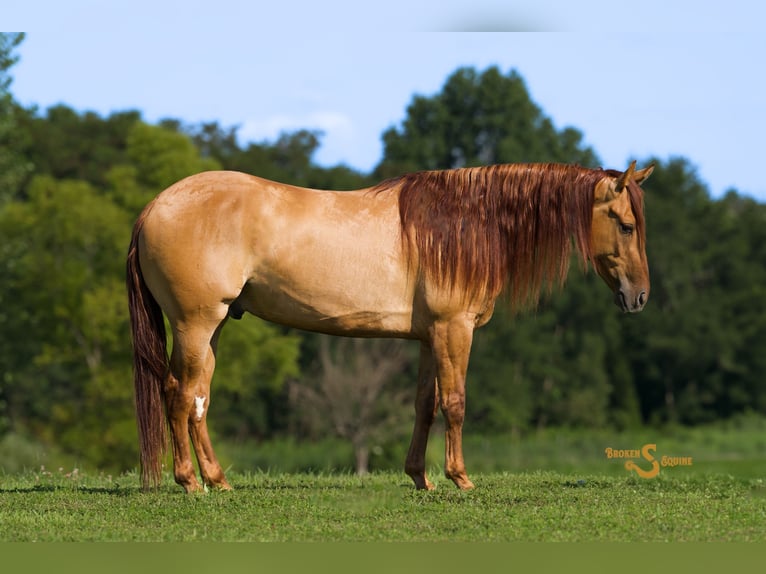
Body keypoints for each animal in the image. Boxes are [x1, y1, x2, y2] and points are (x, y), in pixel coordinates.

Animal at [126, 161, 653, 493]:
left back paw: (217, 480)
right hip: (196, 324)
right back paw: (191, 483)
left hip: (212, 327)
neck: (463, 225)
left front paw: (420, 477)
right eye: (626, 225)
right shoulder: (453, 329)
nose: (640, 297)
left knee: (197, 397)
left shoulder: (428, 337)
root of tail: (154, 207)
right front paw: (460, 478)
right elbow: (456, 403)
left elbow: (425, 405)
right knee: (181, 395)